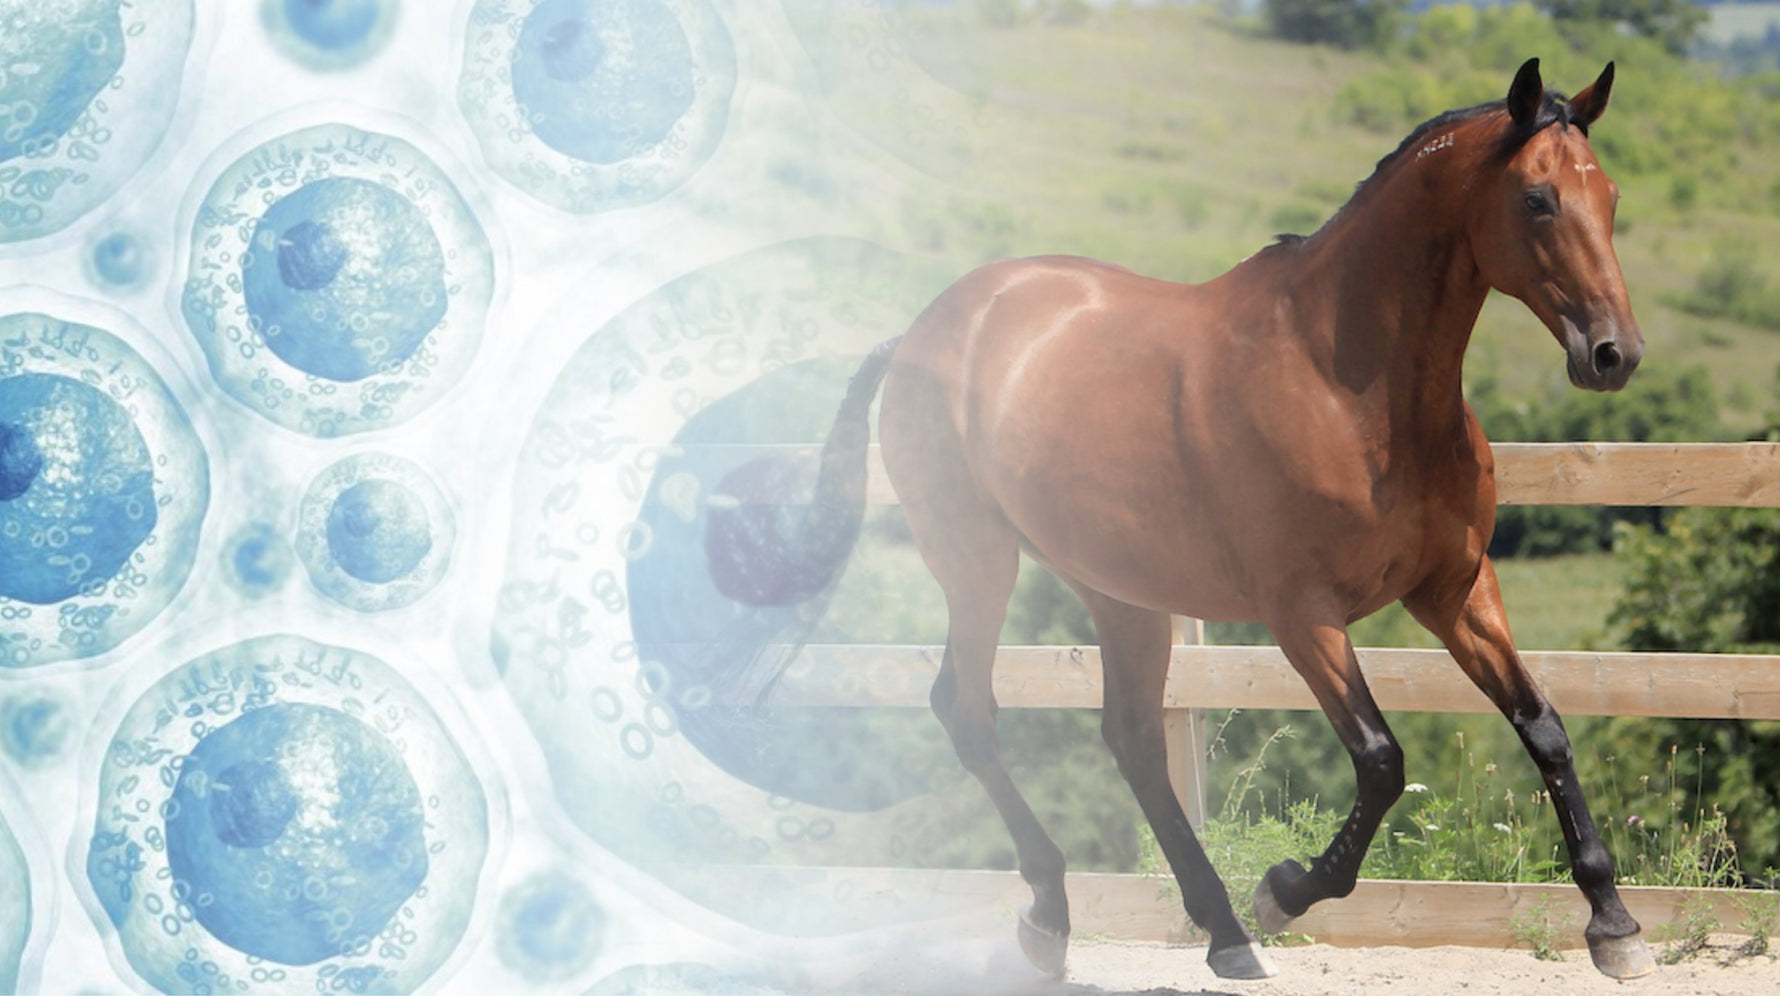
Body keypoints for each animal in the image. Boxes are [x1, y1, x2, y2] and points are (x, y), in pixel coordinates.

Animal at [741, 58, 1653, 981]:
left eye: (1610, 195)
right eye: (1537, 198)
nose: (1614, 354)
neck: (1351, 386)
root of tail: (919, 333)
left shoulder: (1454, 590)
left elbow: (1543, 727)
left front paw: (1614, 925)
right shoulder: (1301, 612)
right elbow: (1380, 761)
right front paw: (1284, 890)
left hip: (1119, 593)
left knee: (1132, 739)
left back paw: (1219, 932)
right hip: (977, 563)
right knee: (970, 712)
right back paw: (1063, 918)